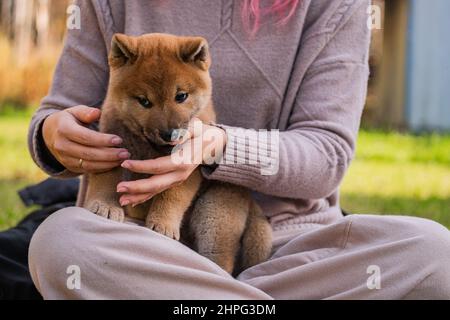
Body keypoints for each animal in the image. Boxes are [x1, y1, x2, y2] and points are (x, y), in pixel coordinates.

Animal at [81, 31, 270, 272]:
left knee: (221, 260)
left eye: (181, 96)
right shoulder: (109, 145)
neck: (148, 148)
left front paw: (163, 223)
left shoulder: (188, 171)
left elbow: (171, 195)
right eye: (144, 101)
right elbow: (107, 179)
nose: (169, 133)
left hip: (214, 215)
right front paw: (105, 205)